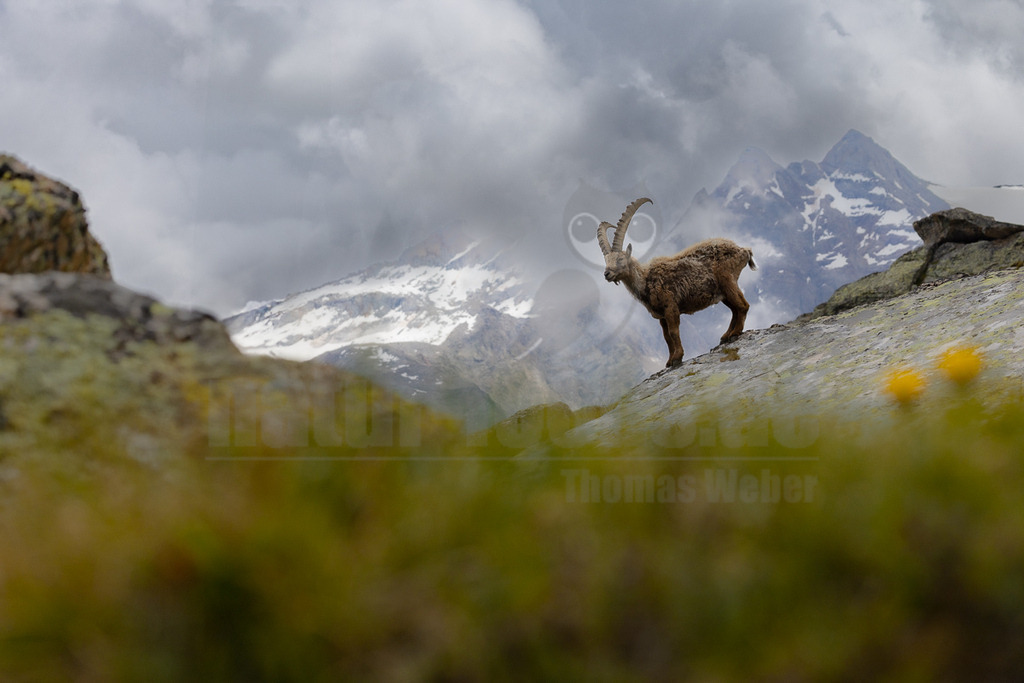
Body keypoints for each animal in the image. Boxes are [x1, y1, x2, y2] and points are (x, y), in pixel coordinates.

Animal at [598, 197, 757, 367]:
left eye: (620, 259)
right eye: (606, 261)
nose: (607, 274)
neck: (646, 280)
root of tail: (743, 250)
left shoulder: (671, 307)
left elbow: (674, 332)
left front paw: (677, 358)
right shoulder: (661, 316)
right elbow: (667, 337)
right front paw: (669, 361)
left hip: (728, 280)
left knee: (743, 305)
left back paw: (735, 333)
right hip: (721, 292)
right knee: (734, 309)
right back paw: (726, 336)